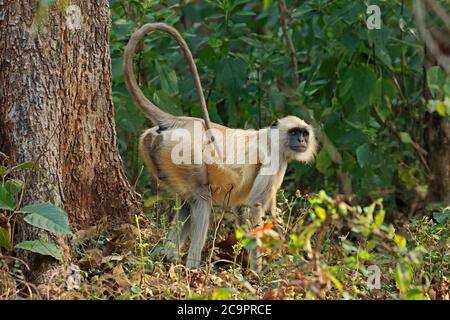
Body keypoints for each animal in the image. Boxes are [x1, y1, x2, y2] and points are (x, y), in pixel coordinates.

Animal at [123, 22, 316, 270]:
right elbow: (253, 206)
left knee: (186, 204)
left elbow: (252, 210)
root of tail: (179, 121)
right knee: (201, 200)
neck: (271, 136)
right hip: (182, 152)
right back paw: (192, 267)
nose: (301, 141)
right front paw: (258, 271)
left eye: (304, 133)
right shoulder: (276, 159)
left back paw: (167, 258)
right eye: (294, 133)